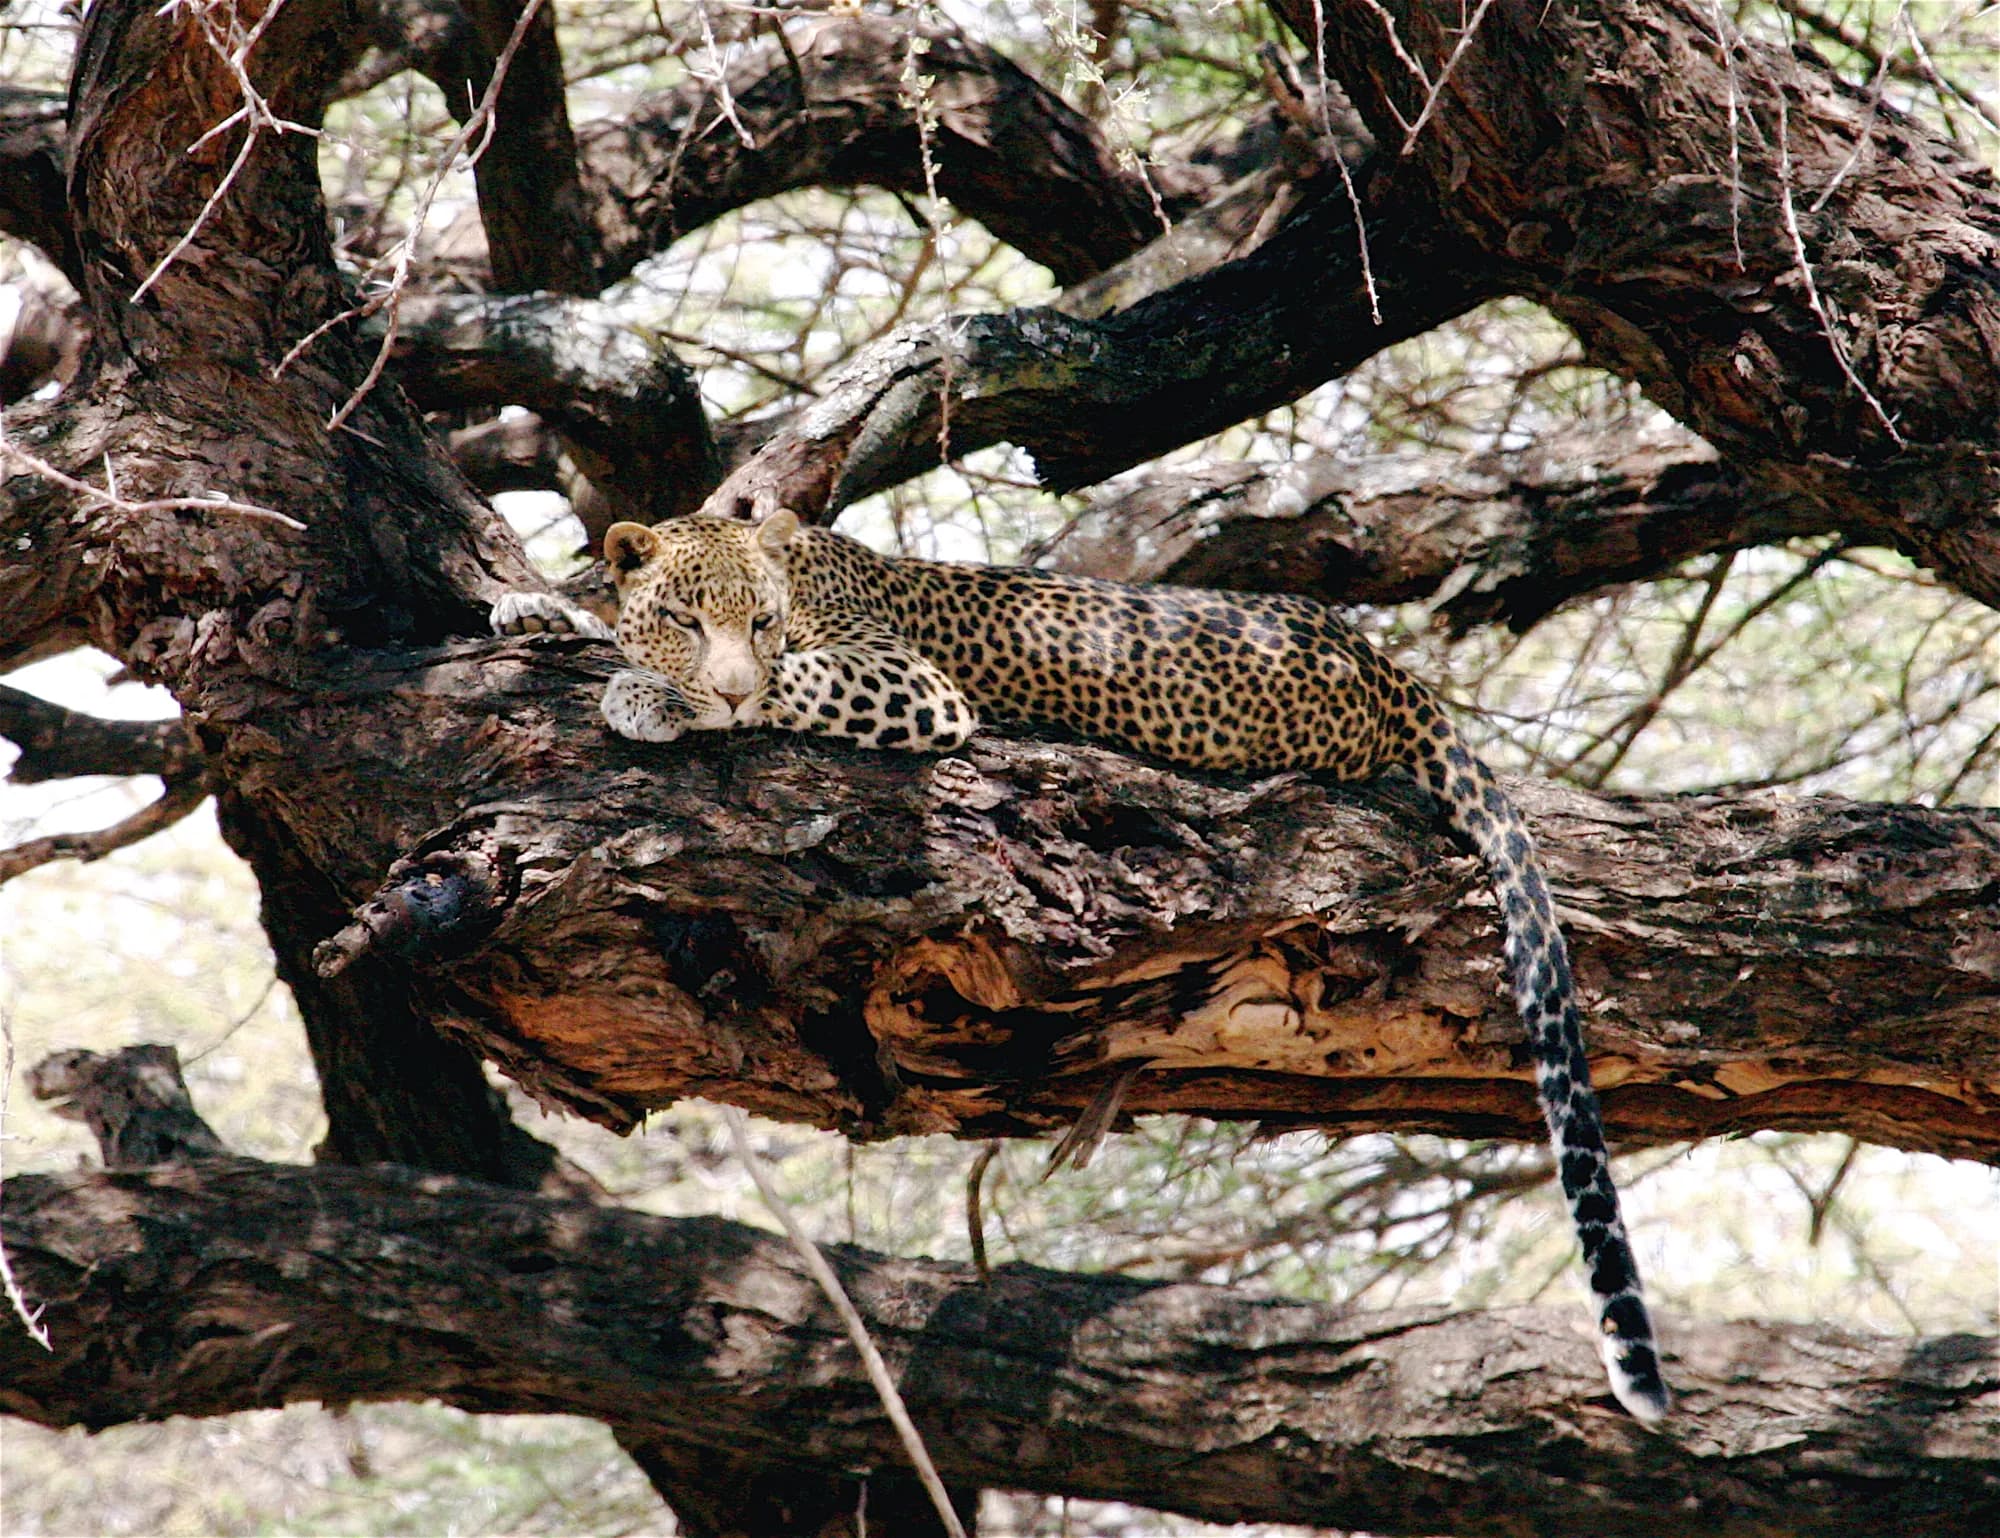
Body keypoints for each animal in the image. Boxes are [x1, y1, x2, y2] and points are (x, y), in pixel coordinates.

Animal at [493, 507, 1672, 1423]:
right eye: (689, 618)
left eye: (761, 621)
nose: (726, 684)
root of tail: (1377, 659)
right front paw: (542, 612)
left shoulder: (905, 684)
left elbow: (786, 681)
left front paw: (650, 694)